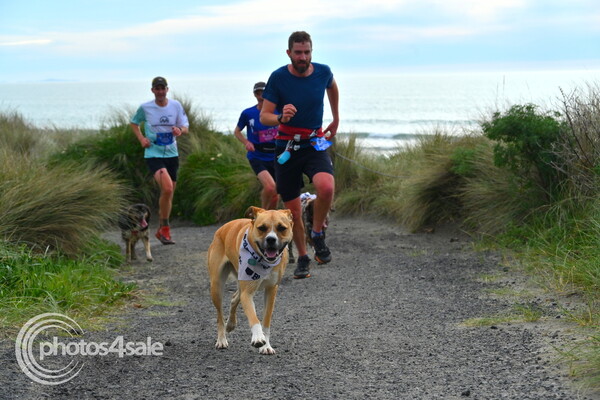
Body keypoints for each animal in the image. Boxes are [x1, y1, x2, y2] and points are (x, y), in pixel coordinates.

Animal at [207, 206, 293, 355]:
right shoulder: (247, 293)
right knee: (219, 316)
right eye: (262, 228)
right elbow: (254, 317)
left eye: (281, 228)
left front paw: (266, 345)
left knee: (234, 298)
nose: (271, 239)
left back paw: (231, 324)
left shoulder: (271, 291)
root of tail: (221, 229)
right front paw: (258, 337)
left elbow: (266, 322)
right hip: (216, 287)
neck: (263, 261)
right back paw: (222, 339)